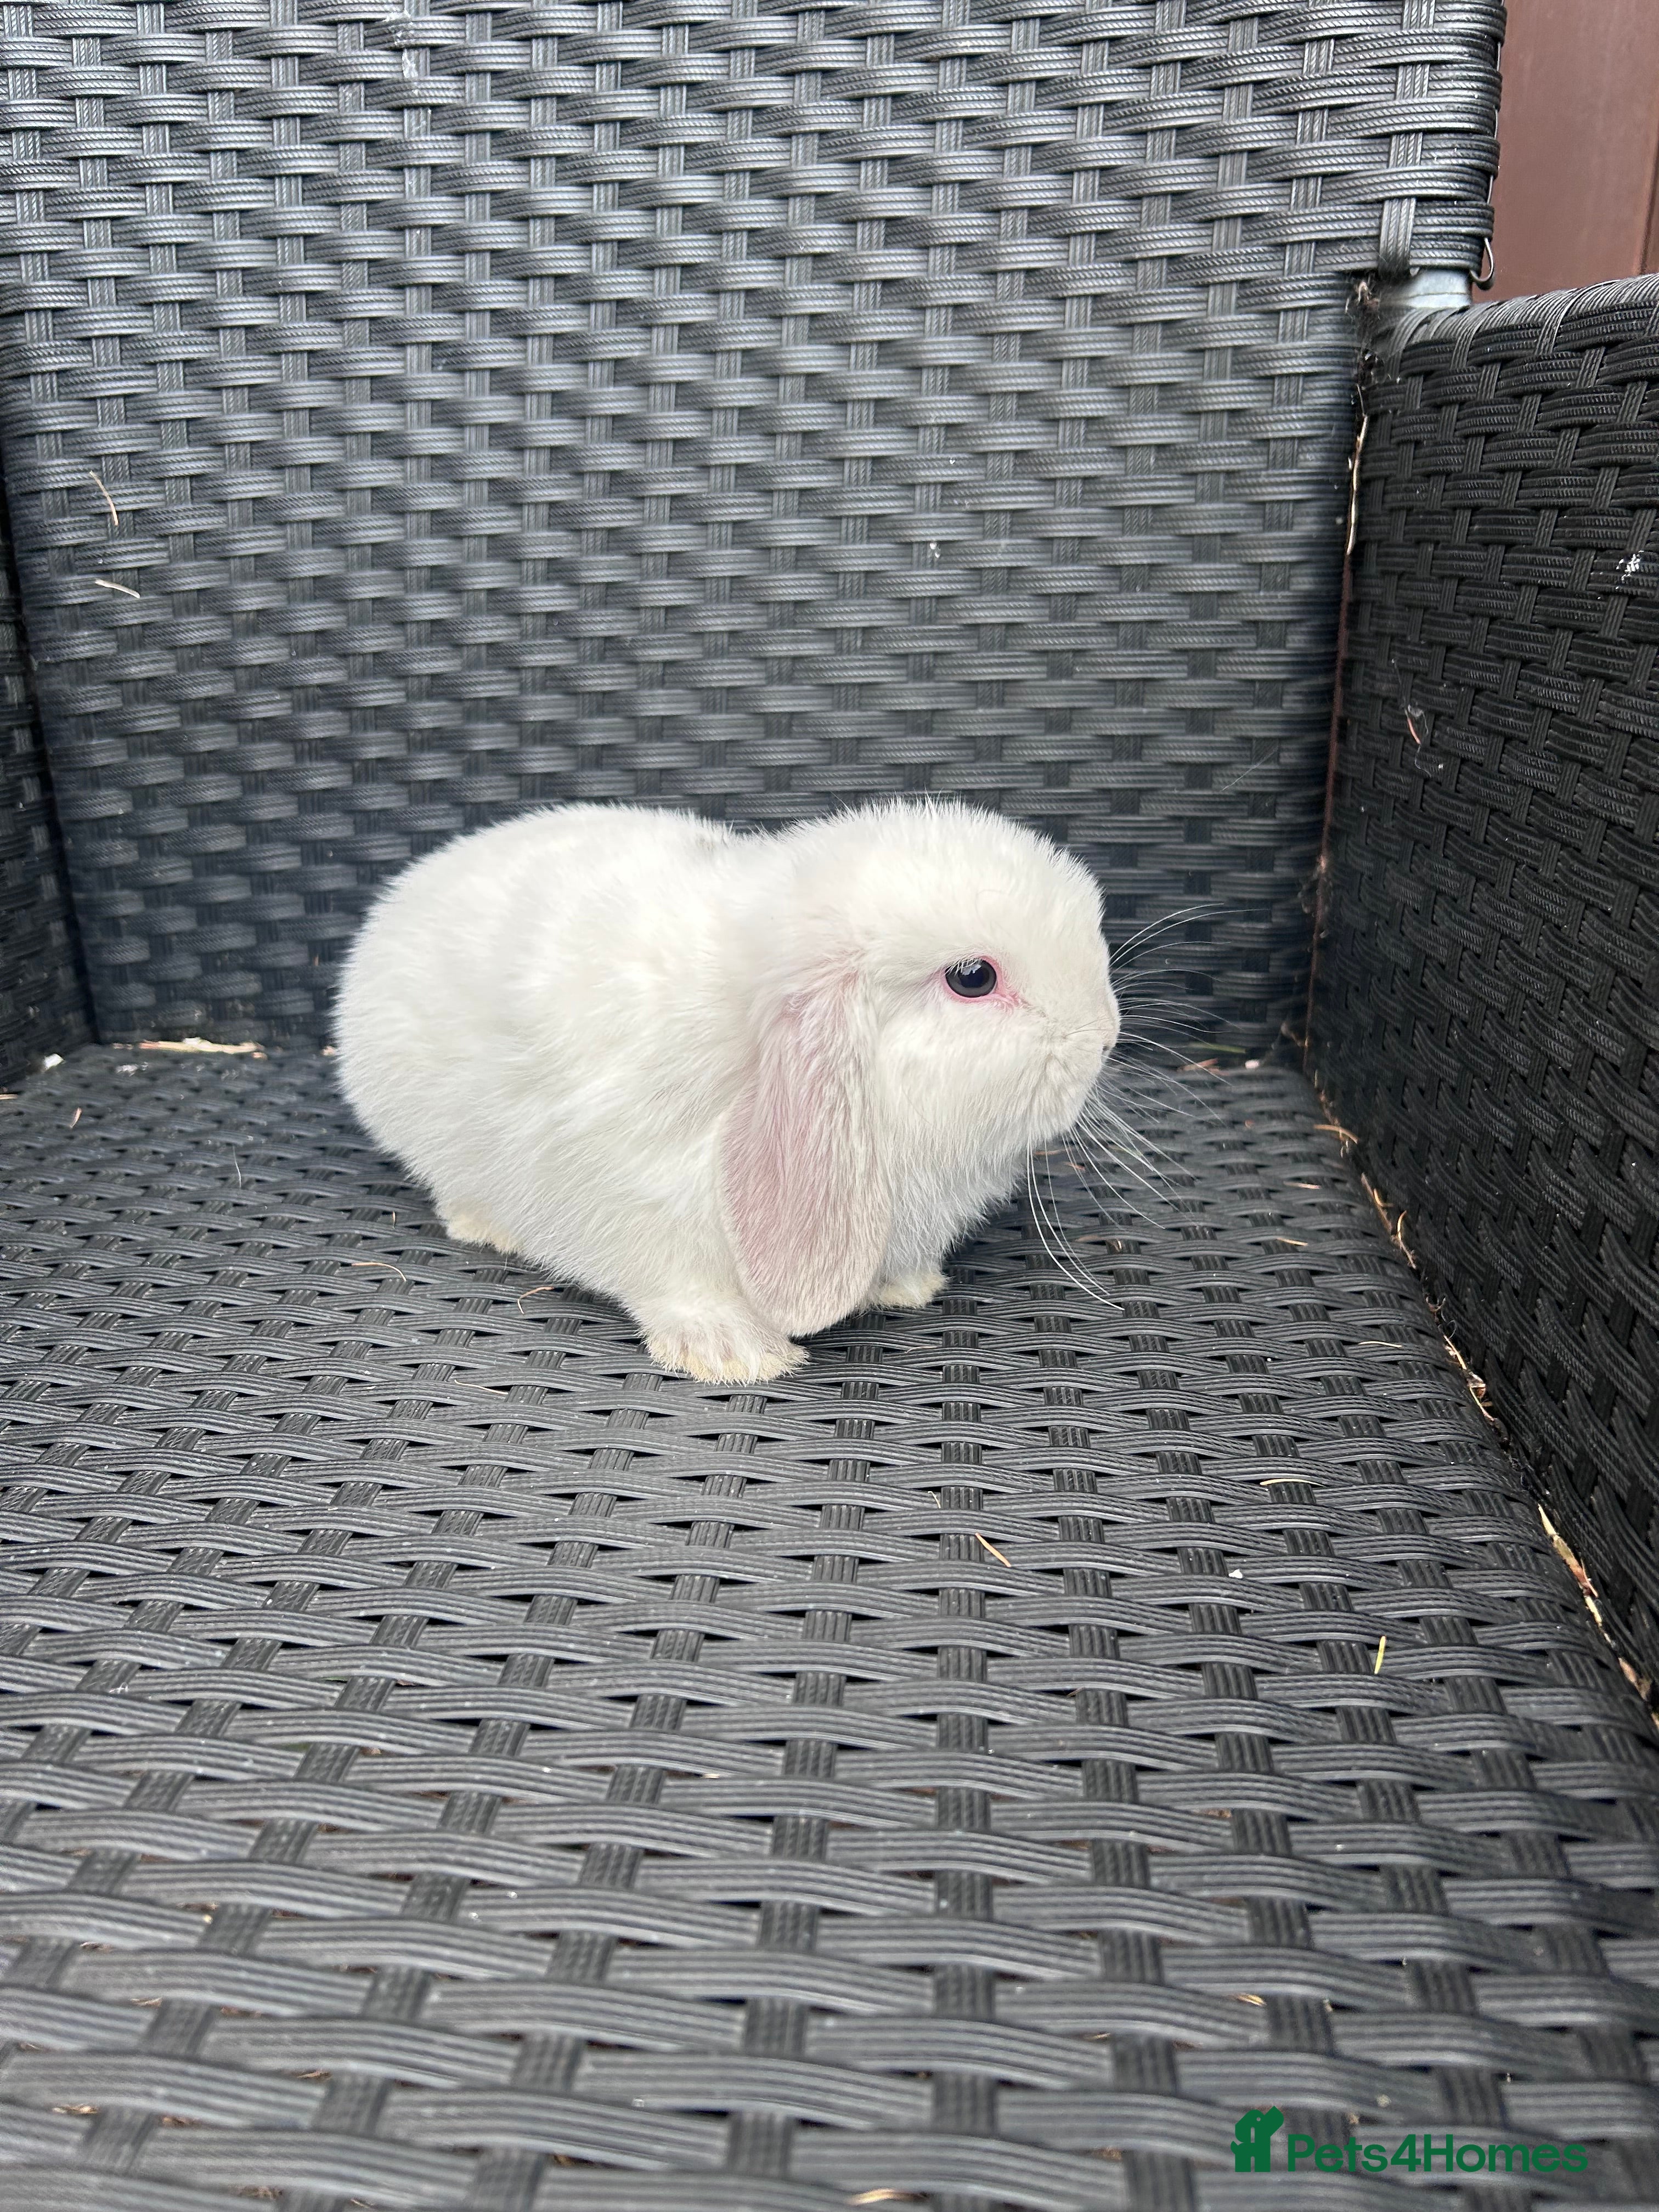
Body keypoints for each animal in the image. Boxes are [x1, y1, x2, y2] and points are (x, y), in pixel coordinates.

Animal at [334, 800, 1120, 1383]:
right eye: (972, 977)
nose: (1105, 1035)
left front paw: (907, 1286)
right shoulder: (630, 1191)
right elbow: (677, 1284)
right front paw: (735, 1354)